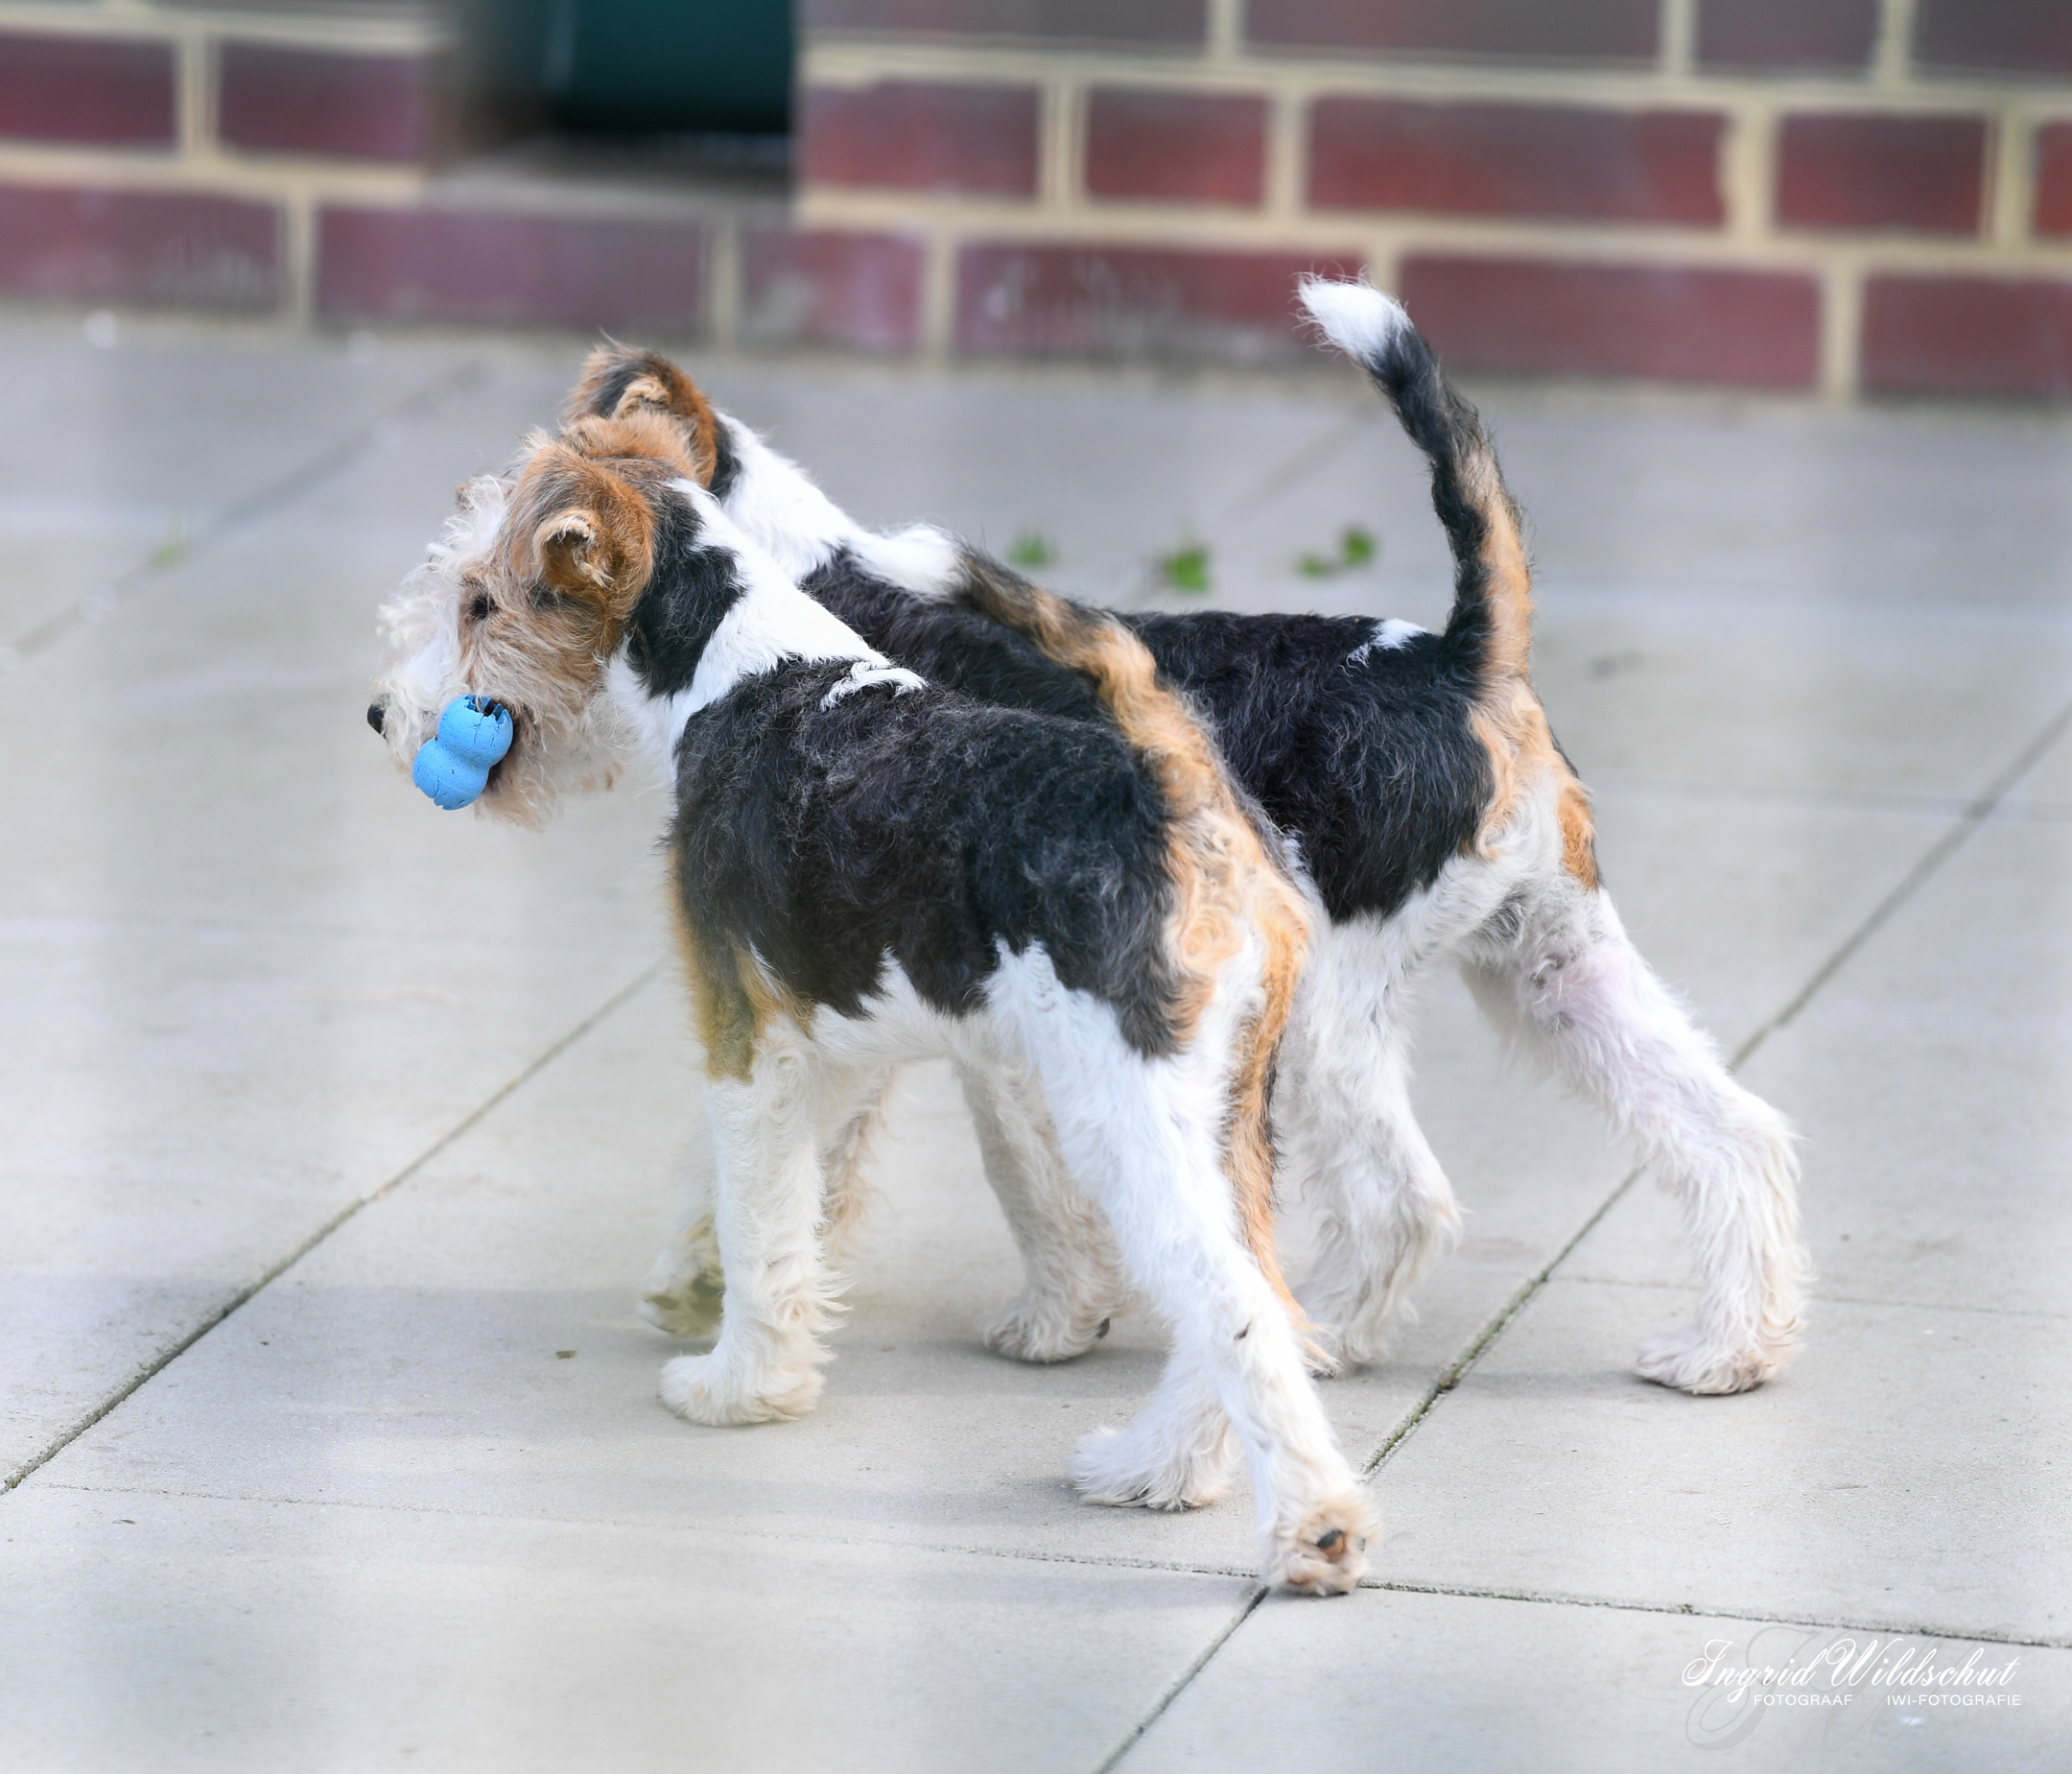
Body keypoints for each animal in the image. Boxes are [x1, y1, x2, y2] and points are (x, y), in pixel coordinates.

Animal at [374, 412, 1383, 1591]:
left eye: (482, 601)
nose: (383, 714)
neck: (744, 674)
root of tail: (1187, 793)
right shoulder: (834, 1039)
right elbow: (791, 1200)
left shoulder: (746, 1038)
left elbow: (761, 1219)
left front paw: (739, 1385)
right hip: (1231, 1105)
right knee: (1256, 1283)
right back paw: (1155, 1469)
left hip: (1128, 1108)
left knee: (1236, 1302)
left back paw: (1312, 1528)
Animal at [572, 277, 1815, 1401]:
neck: (775, 597)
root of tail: (1467, 662)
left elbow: (985, 1173)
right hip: (1552, 962)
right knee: (1735, 1132)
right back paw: (1726, 1351)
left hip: (1324, 1014)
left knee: (1403, 1199)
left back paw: (1322, 1339)